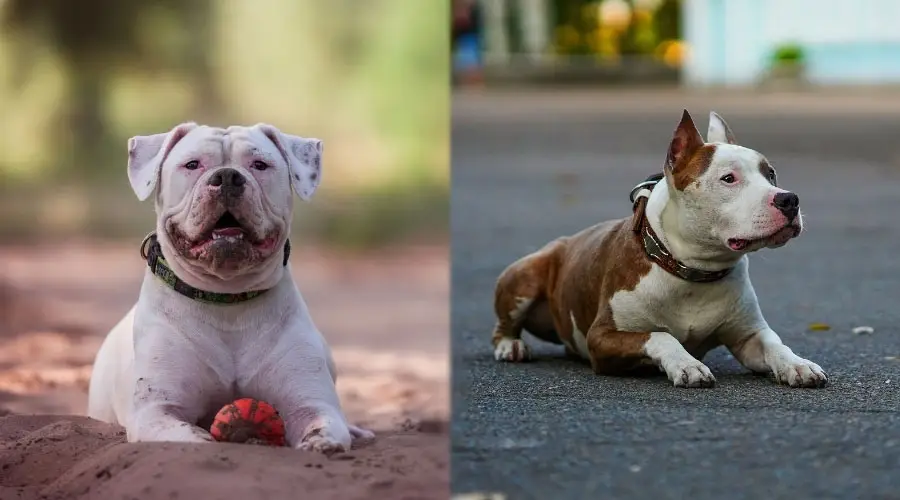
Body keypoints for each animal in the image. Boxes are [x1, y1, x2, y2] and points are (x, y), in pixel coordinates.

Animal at [87, 122, 372, 454]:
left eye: (259, 164)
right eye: (192, 164)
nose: (226, 177)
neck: (226, 298)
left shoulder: (310, 402)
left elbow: (321, 422)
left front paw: (322, 443)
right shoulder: (156, 410)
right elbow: (191, 437)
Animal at [492, 109, 828, 388]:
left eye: (770, 174)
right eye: (728, 178)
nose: (789, 199)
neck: (692, 272)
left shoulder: (749, 336)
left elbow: (774, 343)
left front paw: (798, 364)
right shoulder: (601, 339)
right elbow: (661, 335)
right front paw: (687, 365)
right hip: (525, 276)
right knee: (503, 326)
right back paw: (511, 346)